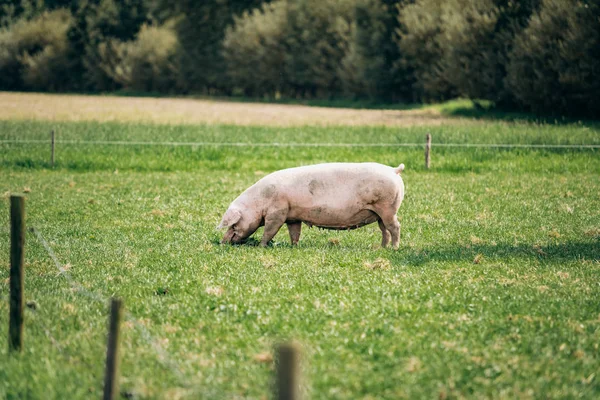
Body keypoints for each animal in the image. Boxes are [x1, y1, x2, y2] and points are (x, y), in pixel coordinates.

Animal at [218, 161, 406, 248]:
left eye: (233, 224)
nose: (222, 242)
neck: (260, 201)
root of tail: (393, 170)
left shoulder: (277, 212)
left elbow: (270, 230)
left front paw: (261, 246)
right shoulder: (293, 216)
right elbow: (295, 232)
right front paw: (294, 246)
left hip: (388, 208)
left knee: (395, 227)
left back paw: (394, 248)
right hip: (380, 212)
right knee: (384, 230)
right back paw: (381, 248)